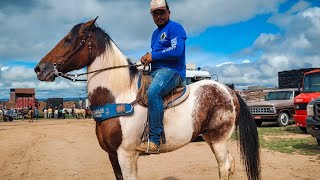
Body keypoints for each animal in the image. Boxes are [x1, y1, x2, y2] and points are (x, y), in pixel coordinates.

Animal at [33, 17, 262, 179]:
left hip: (218, 138)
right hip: (209, 137)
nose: (39, 68)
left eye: (67, 40)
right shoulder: (112, 155)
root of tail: (229, 91)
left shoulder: (126, 154)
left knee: (224, 166)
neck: (118, 96)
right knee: (229, 164)